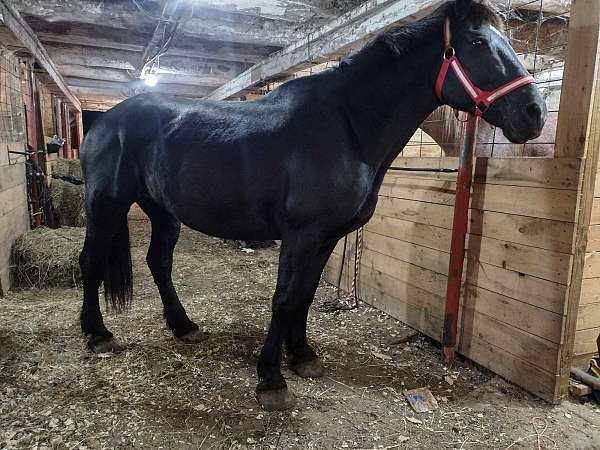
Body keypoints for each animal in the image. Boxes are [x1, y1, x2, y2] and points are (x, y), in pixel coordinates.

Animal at [77, 0, 548, 410]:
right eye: (478, 42)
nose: (534, 113)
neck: (346, 127)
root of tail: (105, 121)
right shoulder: (301, 235)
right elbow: (285, 298)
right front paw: (271, 380)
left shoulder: (327, 238)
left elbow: (305, 295)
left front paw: (302, 356)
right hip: (106, 207)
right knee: (91, 263)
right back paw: (98, 334)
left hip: (163, 212)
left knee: (159, 262)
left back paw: (184, 327)